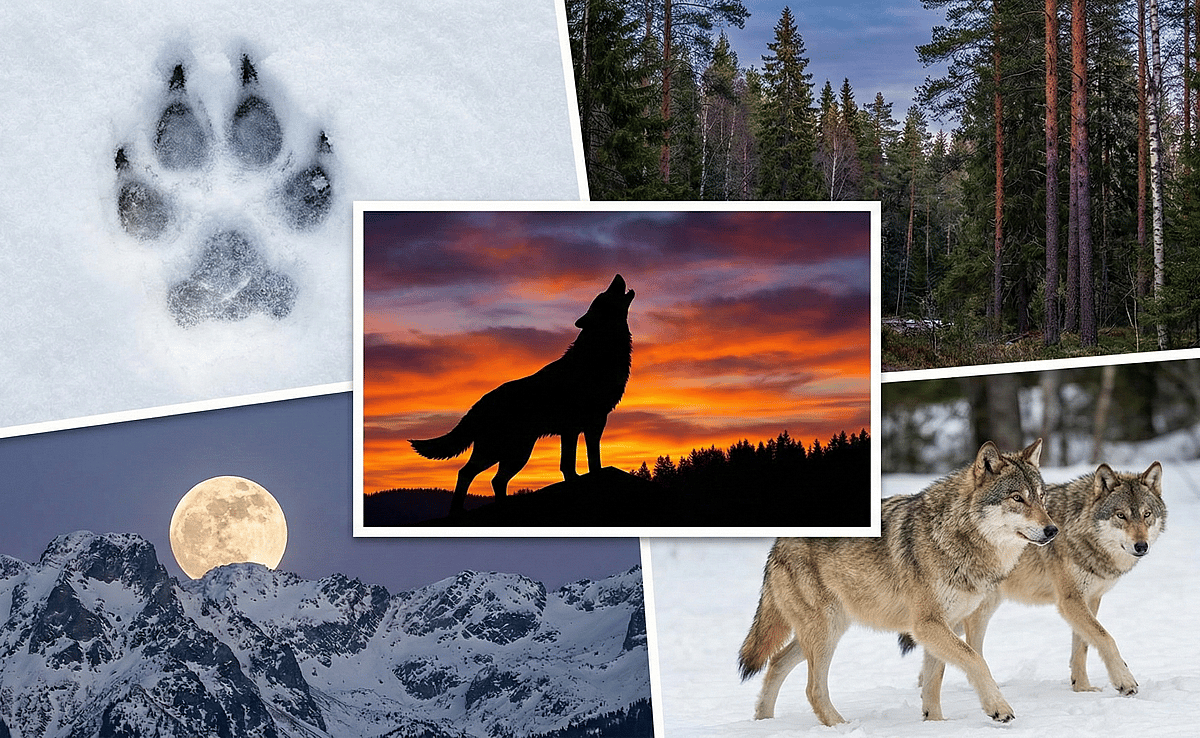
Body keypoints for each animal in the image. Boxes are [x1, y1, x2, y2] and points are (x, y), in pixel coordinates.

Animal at [410, 274, 635, 516]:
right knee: (466, 473)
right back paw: (457, 512)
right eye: (603, 296)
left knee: (495, 480)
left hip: (516, 453)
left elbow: (577, 462)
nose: (617, 276)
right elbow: (584, 460)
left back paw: (502, 506)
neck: (599, 353)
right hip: (501, 451)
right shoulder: (586, 423)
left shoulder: (581, 426)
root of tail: (477, 405)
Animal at [738, 439, 1057, 726]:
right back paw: (841, 726)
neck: (957, 536)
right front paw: (998, 708)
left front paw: (935, 724)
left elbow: (933, 684)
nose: (1052, 530)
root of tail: (776, 543)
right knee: (812, 688)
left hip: (830, 629)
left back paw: (763, 721)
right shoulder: (927, 624)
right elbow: (975, 660)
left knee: (777, 662)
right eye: (1017, 498)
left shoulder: (943, 625)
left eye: (1042, 497)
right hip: (825, 632)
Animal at [915, 461, 1165, 697]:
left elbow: (1082, 647)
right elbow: (1106, 638)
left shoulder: (1090, 599)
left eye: (1147, 515)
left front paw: (1082, 689)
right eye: (1121, 515)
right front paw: (1125, 681)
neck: (1078, 528)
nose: (1141, 546)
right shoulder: (1070, 601)